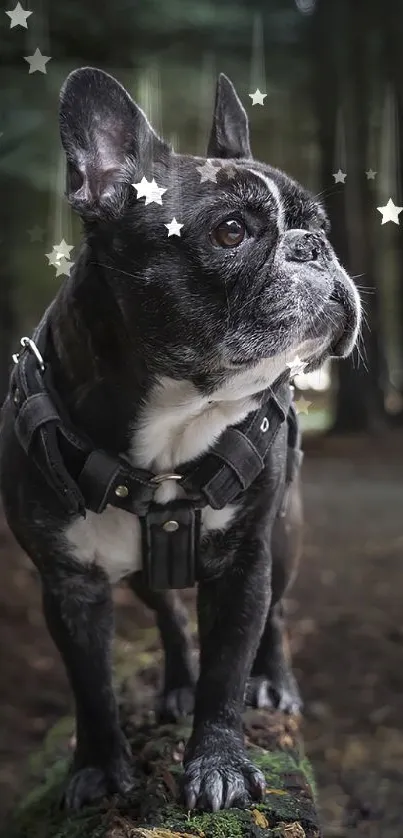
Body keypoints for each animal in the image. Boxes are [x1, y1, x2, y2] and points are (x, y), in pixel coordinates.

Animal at [0, 70, 360, 812]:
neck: (176, 421)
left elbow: (228, 668)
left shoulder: (246, 562)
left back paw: (272, 681)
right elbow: (91, 686)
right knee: (167, 611)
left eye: (318, 225)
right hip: (141, 574)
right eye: (230, 232)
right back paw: (175, 684)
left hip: (284, 533)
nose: (312, 245)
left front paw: (219, 763)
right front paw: (99, 769)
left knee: (277, 616)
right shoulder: (68, 585)